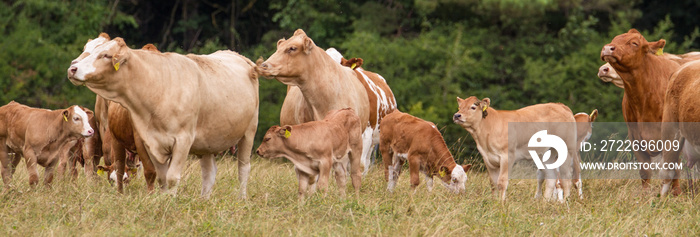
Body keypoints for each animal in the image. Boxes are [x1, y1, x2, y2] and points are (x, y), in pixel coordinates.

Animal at [67, 33, 258, 198]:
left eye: (105, 55)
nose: (73, 68)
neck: (158, 87)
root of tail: (240, 57)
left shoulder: (182, 141)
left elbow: (171, 178)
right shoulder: (151, 141)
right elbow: (161, 178)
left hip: (248, 133)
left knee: (243, 169)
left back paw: (241, 199)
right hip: (208, 143)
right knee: (209, 173)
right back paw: (204, 200)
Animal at [600, 29, 684, 189]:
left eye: (634, 43)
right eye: (614, 39)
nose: (607, 48)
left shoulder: (672, 136)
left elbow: (674, 169)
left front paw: (677, 193)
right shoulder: (635, 137)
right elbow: (645, 172)